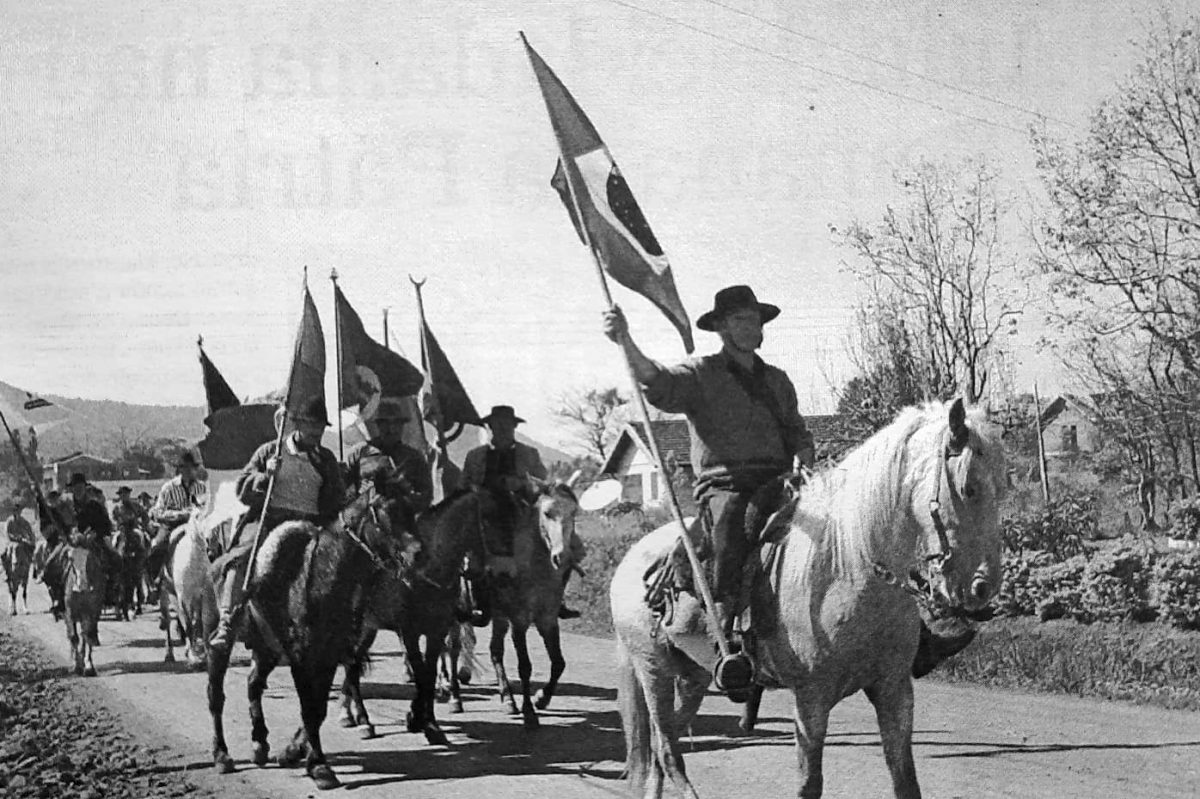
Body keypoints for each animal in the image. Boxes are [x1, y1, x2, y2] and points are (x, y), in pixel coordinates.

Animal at [204, 482, 396, 787]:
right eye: (385, 515)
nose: (417, 554)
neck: (316, 582)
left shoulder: (329, 656)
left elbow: (319, 709)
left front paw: (300, 755)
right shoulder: (302, 659)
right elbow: (310, 709)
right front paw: (318, 765)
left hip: (267, 649)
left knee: (253, 683)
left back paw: (260, 744)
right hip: (218, 645)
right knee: (216, 695)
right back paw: (221, 755)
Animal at [340, 484, 499, 739]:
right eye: (487, 520)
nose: (480, 571)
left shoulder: (437, 631)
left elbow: (429, 673)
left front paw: (427, 722)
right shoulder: (409, 632)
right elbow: (421, 671)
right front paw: (419, 719)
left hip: (369, 628)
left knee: (352, 664)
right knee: (350, 664)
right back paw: (362, 719)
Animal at [614, 398, 1008, 796]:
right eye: (969, 488)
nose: (984, 587)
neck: (848, 568)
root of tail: (630, 558)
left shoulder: (894, 690)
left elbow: (905, 781)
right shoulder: (810, 699)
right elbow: (810, 783)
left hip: (692, 675)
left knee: (663, 748)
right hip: (653, 669)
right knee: (666, 751)